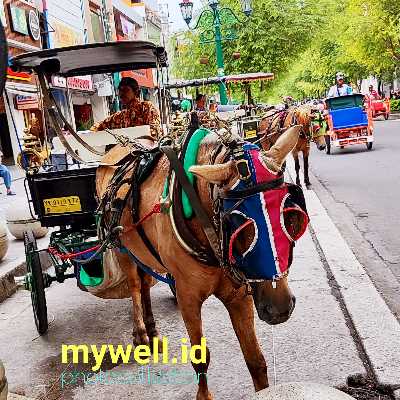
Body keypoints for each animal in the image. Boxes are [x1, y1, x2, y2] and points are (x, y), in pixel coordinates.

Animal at [97, 126, 302, 398]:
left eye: (289, 216)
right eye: (237, 222)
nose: (278, 308)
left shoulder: (239, 297)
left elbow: (255, 359)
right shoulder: (187, 297)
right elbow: (200, 357)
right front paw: (204, 394)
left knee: (145, 282)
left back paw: (152, 328)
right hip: (122, 249)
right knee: (135, 285)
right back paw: (141, 332)